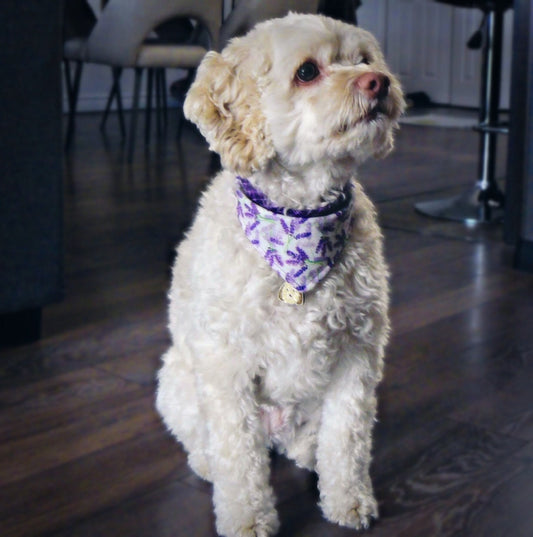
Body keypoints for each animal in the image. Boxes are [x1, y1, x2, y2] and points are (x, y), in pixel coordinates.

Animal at [156, 11, 406, 536]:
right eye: (307, 72)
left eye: (364, 60)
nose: (379, 82)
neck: (300, 223)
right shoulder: (227, 365)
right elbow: (238, 456)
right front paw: (247, 517)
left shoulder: (357, 354)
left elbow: (347, 439)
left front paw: (349, 499)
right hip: (177, 380)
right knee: (207, 442)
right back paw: (207, 461)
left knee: (311, 439)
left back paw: (308, 452)